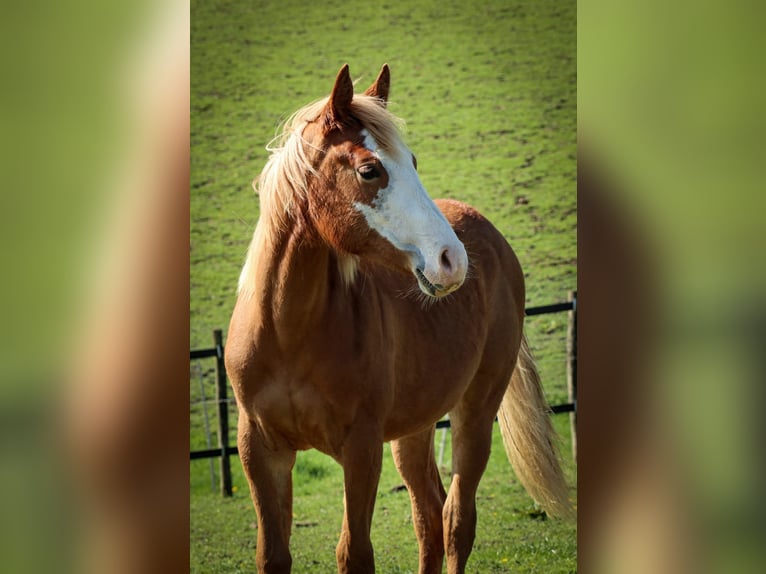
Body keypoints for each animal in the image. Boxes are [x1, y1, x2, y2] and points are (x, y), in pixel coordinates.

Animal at [225, 64, 572, 574]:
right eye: (370, 169)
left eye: (413, 161)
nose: (452, 260)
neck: (289, 333)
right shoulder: (260, 450)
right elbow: (272, 555)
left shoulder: (361, 448)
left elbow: (354, 553)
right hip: (415, 428)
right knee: (428, 516)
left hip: (474, 411)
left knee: (456, 519)